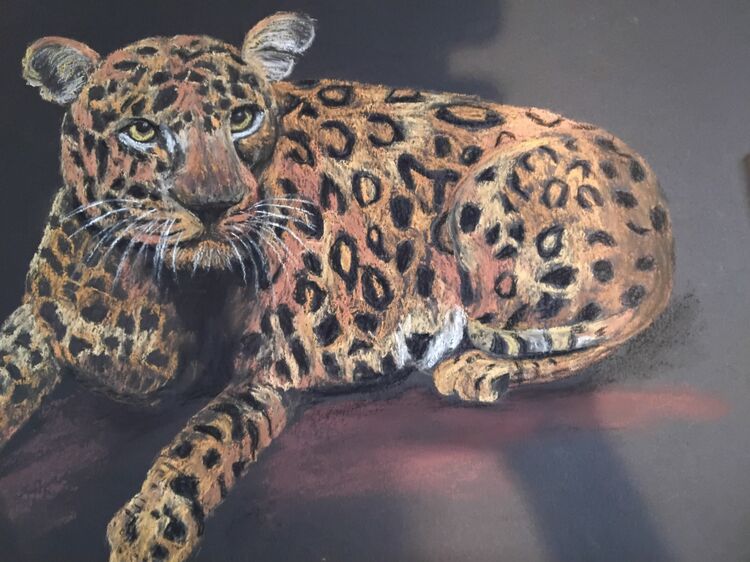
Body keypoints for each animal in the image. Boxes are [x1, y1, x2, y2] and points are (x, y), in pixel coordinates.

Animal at [0, 11, 674, 561]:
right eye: (141, 130)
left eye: (242, 119)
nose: (215, 206)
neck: (143, 284)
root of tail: (661, 222)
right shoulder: (42, 315)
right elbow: (14, 361)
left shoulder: (273, 371)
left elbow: (204, 439)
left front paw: (151, 526)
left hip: (491, 194)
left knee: (594, 329)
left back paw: (477, 367)